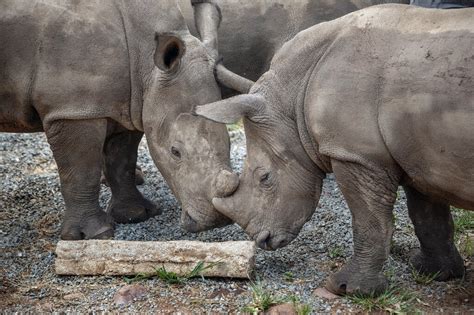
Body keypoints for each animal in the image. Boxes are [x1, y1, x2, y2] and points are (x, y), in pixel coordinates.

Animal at [0, 0, 239, 241]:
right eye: (175, 152)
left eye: (229, 142)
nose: (217, 221)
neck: (146, 58)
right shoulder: (73, 109)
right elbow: (82, 171)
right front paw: (95, 235)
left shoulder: (131, 101)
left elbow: (122, 160)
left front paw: (135, 215)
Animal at [196, 4, 474, 296]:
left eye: (264, 178)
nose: (262, 240)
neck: (293, 97)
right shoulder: (414, 155)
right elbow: (427, 215)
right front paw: (434, 272)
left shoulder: (356, 155)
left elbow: (369, 221)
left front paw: (346, 288)